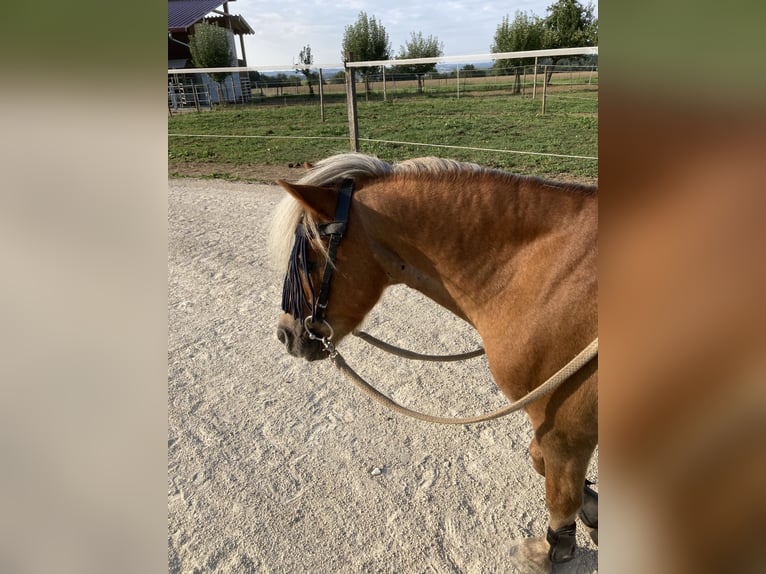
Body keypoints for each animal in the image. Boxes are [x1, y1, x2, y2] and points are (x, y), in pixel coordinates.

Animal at [270, 152, 600, 572]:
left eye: (310, 257)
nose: (285, 334)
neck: (543, 273)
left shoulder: (565, 429)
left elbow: (560, 495)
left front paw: (552, 548)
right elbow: (540, 460)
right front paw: (593, 507)